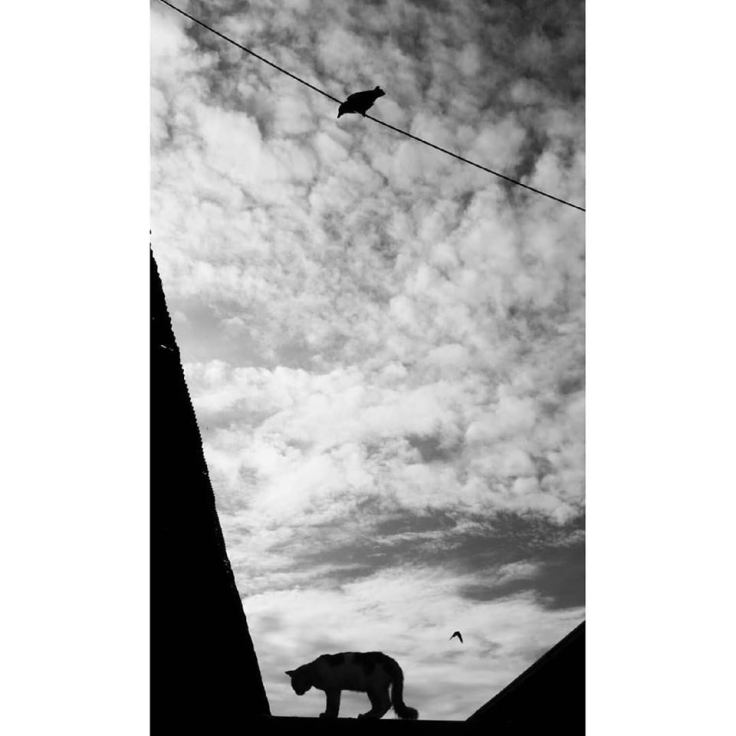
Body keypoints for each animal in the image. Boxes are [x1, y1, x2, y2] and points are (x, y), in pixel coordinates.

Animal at [285, 651, 419, 720]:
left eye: (294, 684)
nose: (296, 692)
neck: (314, 671)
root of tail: (391, 661)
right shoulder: (334, 690)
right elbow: (334, 705)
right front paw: (331, 715)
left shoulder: (333, 689)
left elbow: (332, 705)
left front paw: (328, 715)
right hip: (372, 690)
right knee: (379, 705)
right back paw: (366, 715)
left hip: (376, 687)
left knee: (386, 703)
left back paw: (370, 717)